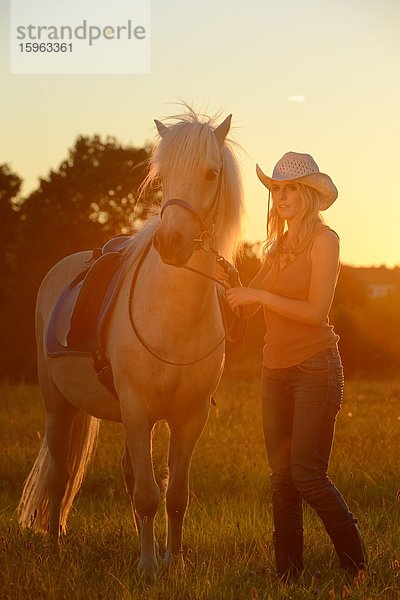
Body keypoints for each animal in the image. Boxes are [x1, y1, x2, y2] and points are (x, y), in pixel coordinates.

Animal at [18, 109, 244, 580]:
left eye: (211, 173)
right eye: (164, 176)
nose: (171, 243)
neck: (173, 318)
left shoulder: (189, 418)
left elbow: (174, 495)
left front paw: (173, 562)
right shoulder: (138, 410)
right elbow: (146, 494)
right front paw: (148, 567)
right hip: (58, 406)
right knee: (60, 476)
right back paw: (54, 545)